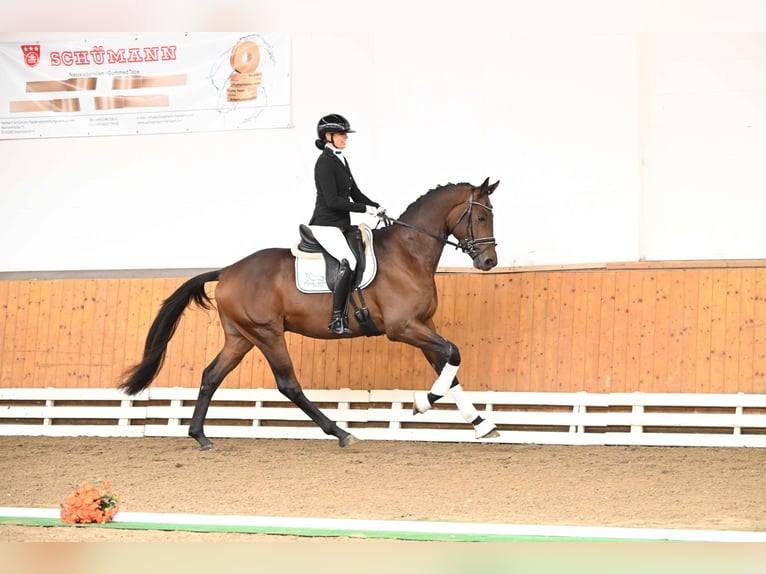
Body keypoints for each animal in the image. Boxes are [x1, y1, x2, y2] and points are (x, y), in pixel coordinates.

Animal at [118, 178, 504, 452]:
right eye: (481, 216)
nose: (488, 262)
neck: (408, 253)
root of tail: (227, 271)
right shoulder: (403, 328)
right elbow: (453, 353)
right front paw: (421, 403)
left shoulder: (424, 325)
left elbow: (448, 369)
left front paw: (481, 424)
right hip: (267, 333)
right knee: (288, 384)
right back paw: (341, 433)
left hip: (241, 337)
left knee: (211, 376)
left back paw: (200, 436)